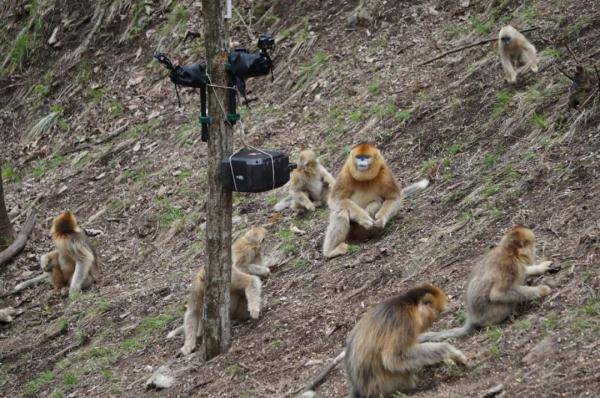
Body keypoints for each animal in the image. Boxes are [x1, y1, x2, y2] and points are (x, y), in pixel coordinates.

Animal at [418, 227, 552, 342]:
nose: (535, 249)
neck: (510, 253)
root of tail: (473, 318)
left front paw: (540, 267)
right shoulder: (509, 266)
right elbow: (497, 294)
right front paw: (541, 290)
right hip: (493, 313)